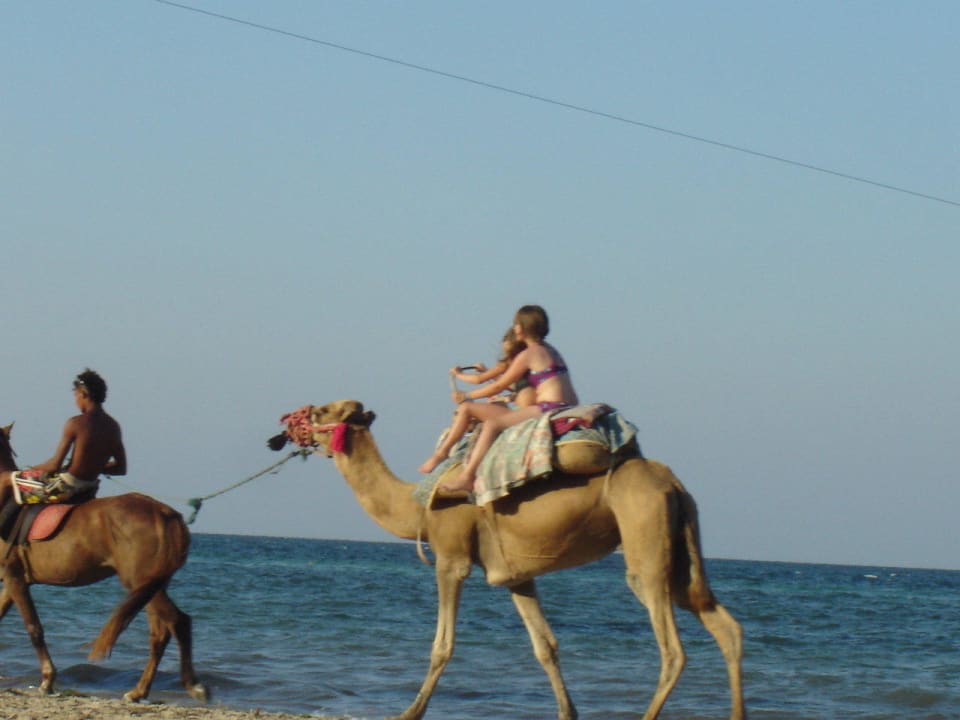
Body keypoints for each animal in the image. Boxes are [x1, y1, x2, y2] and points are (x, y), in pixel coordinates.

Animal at [0, 423, 207, 703]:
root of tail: (166, 514)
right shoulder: (15, 581)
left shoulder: (14, 577)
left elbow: (34, 628)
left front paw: (47, 680)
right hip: (151, 586)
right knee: (160, 634)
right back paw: (138, 691)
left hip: (140, 582)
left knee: (178, 622)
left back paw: (193, 685)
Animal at [268, 400, 745, 720]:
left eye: (321, 410)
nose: (281, 430)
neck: (414, 505)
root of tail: (673, 483)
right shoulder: (516, 574)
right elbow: (546, 646)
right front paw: (567, 712)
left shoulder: (451, 557)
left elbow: (442, 645)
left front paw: (408, 712)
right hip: (680, 547)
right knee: (725, 625)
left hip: (644, 539)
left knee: (672, 648)